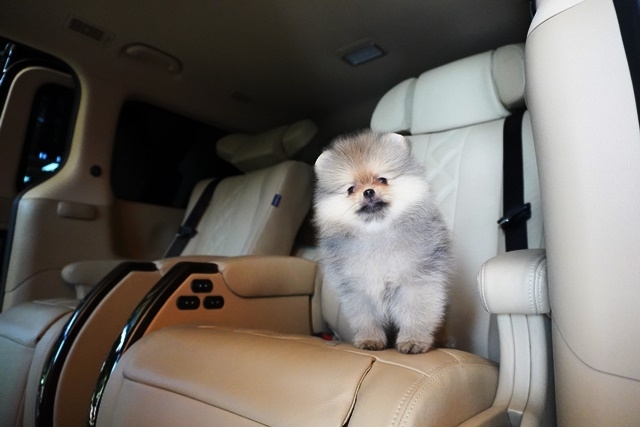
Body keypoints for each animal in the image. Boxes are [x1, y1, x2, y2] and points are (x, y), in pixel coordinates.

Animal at [314, 130, 452, 354]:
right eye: (351, 189)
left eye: (382, 179)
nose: (368, 191)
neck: (376, 232)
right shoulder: (359, 290)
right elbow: (366, 318)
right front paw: (370, 339)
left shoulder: (417, 281)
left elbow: (416, 314)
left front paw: (413, 340)